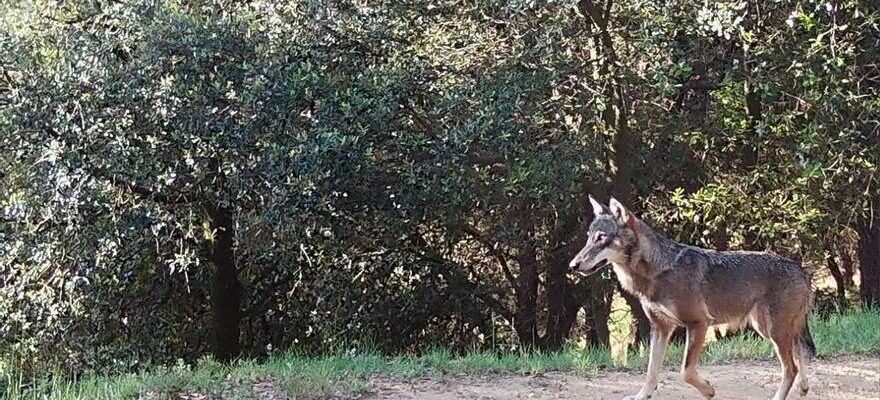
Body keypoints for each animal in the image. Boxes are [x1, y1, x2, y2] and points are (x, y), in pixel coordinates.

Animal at [568, 197, 816, 400]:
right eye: (589, 238)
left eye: (601, 238)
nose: (572, 265)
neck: (657, 271)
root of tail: (800, 268)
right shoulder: (660, 328)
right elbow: (651, 371)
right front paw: (642, 395)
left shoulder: (698, 323)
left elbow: (685, 371)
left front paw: (708, 390)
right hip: (768, 329)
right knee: (800, 352)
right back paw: (803, 387)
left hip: (773, 331)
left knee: (791, 367)